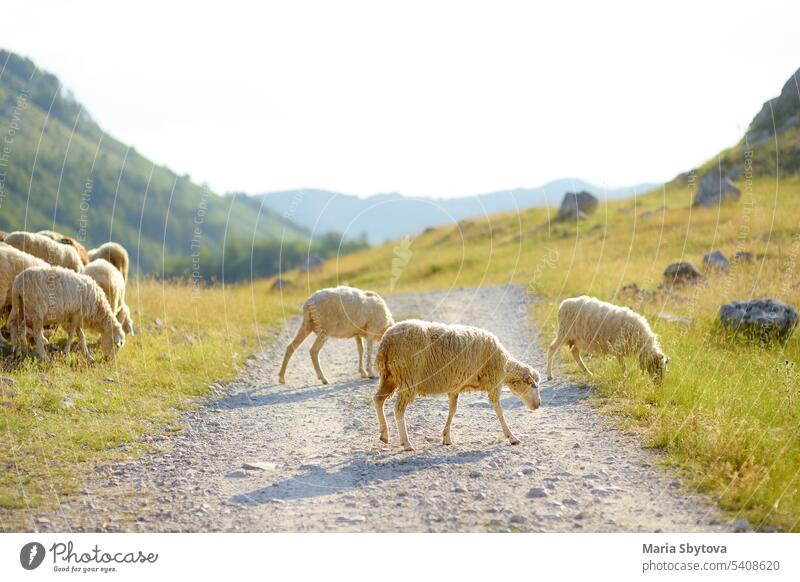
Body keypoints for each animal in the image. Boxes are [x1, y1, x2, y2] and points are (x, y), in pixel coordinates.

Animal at [374, 320, 536, 452]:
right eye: (534, 386)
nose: (538, 405)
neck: (505, 365)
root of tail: (387, 340)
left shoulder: (455, 388)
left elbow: (452, 411)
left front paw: (446, 437)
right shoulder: (493, 382)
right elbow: (499, 412)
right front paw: (512, 437)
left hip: (389, 377)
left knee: (378, 399)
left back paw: (384, 434)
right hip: (408, 377)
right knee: (398, 410)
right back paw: (406, 443)